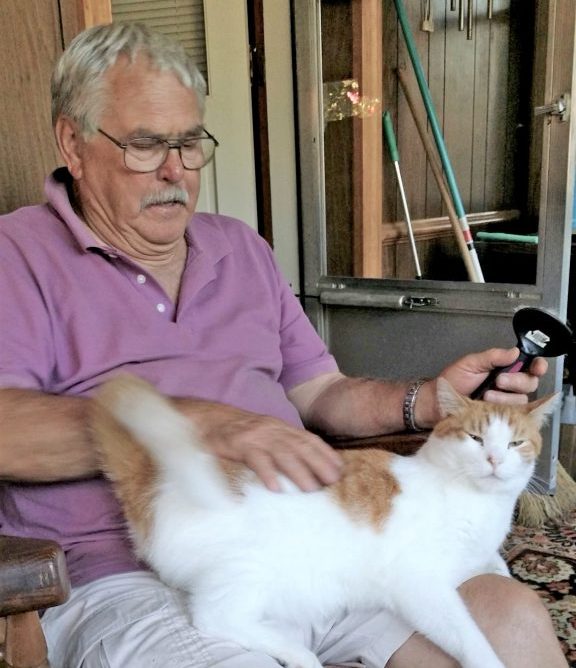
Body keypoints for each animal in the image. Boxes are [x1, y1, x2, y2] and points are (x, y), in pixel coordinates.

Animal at [91, 374, 559, 668]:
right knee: (213, 616)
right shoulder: (418, 584)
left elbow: (495, 565)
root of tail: (155, 479)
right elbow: (468, 635)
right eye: (475, 438)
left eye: (516, 443)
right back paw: (299, 655)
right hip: (252, 569)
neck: (475, 504)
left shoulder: (476, 556)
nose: (494, 459)